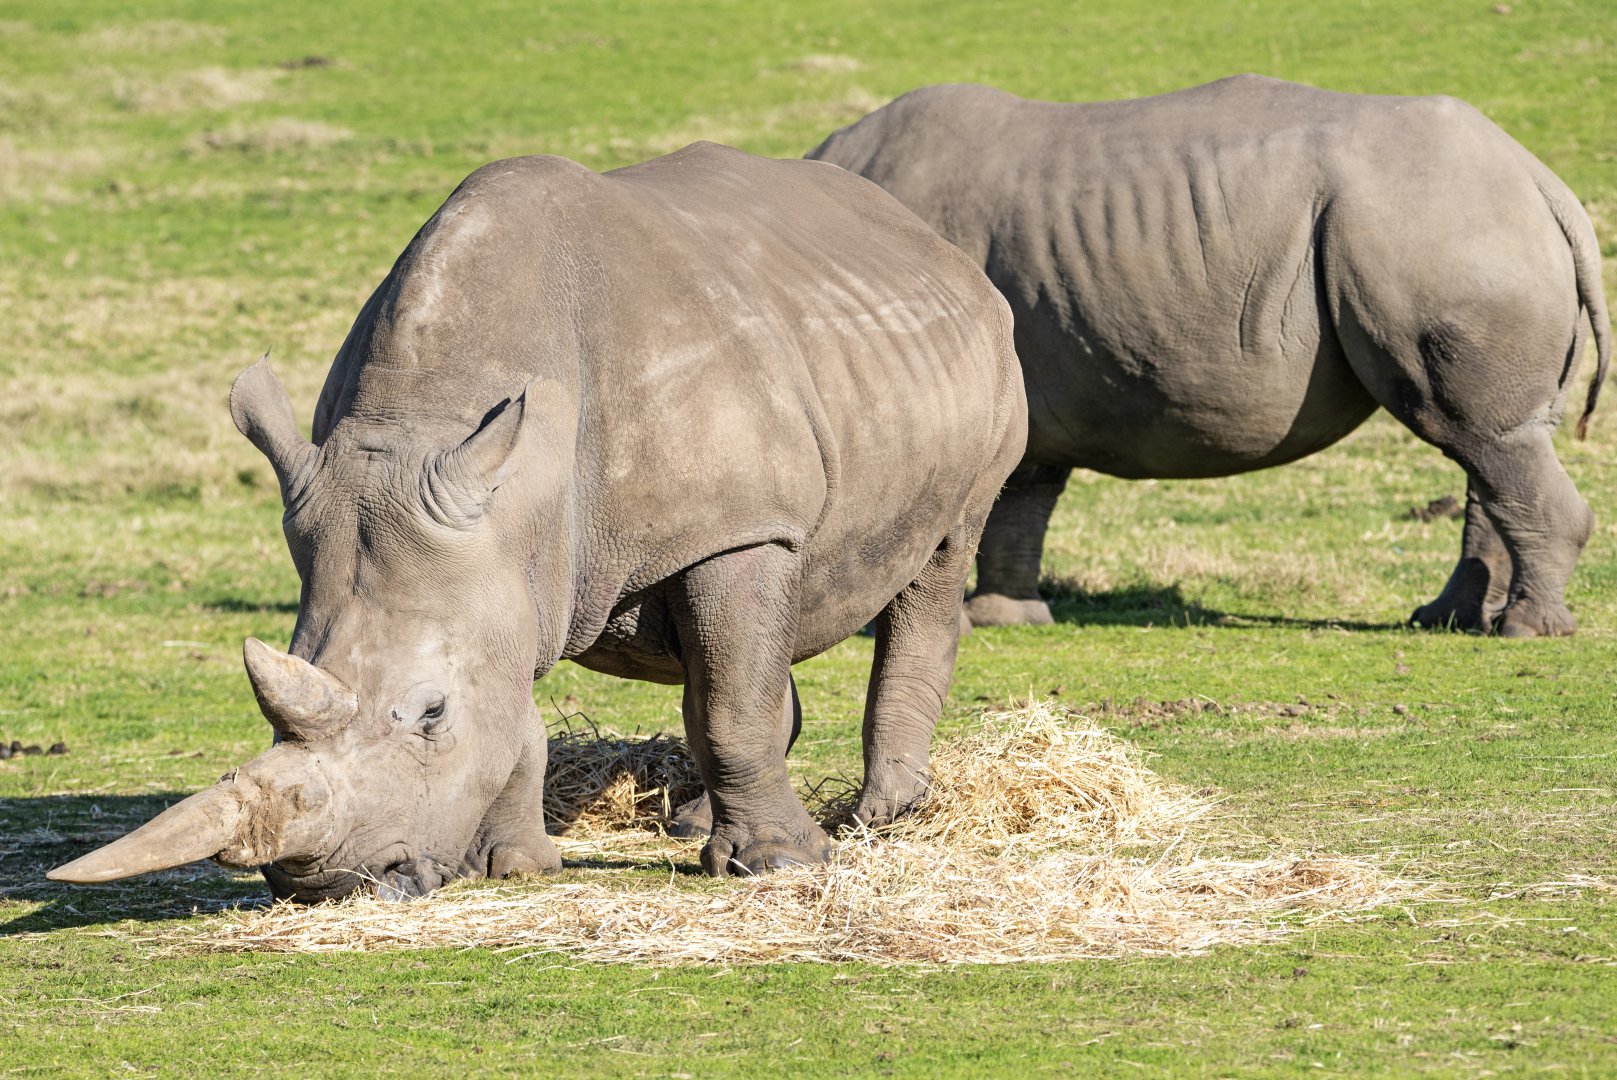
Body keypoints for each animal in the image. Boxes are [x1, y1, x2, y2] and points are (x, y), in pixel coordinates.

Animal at [49, 142, 1026, 900]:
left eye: (429, 713)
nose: (324, 882)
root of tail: (922, 238)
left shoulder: (741, 524)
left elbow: (733, 700)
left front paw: (782, 868)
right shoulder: (496, 549)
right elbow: (529, 707)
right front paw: (511, 866)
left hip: (986, 366)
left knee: (933, 565)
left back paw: (879, 820)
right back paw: (689, 825)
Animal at [808, 76, 1610, 636]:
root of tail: (1542, 184)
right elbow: (1023, 490)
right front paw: (1005, 619)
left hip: (1440, 233)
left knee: (1478, 435)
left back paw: (1526, 631)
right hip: (1455, 231)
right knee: (1489, 446)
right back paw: (1446, 621)